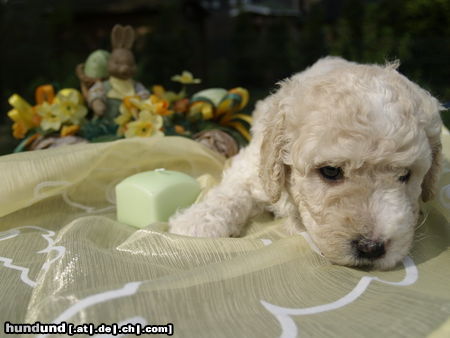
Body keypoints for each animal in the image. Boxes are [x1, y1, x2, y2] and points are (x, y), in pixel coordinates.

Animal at [170, 57, 442, 270]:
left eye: (405, 174)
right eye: (330, 171)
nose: (371, 248)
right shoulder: (253, 167)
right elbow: (231, 191)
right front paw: (195, 224)